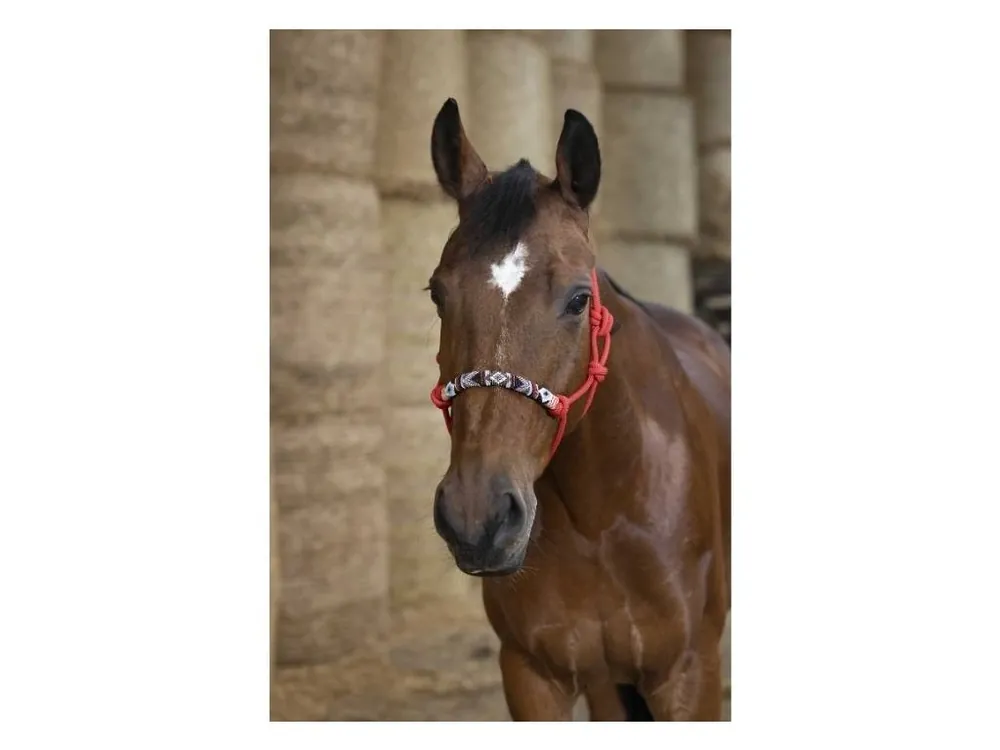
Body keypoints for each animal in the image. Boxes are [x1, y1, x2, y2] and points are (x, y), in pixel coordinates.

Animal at [425, 98, 731, 721]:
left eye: (578, 298)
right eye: (437, 294)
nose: (477, 517)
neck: (601, 518)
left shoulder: (690, 677)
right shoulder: (534, 675)